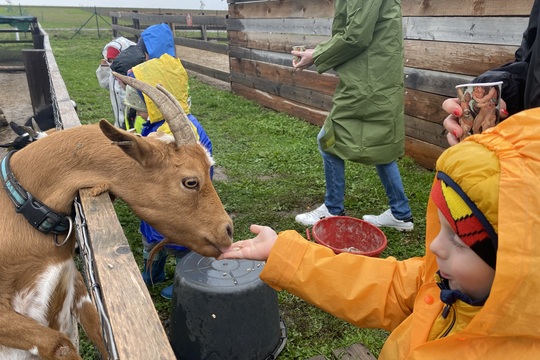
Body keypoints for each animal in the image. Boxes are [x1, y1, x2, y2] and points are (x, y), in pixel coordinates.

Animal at [0, 77, 233, 358]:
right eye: (190, 181)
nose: (228, 230)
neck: (20, 207)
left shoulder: (77, 286)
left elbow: (100, 330)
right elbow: (60, 345)